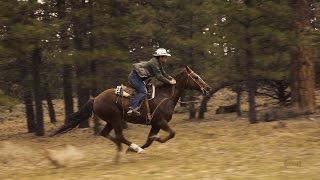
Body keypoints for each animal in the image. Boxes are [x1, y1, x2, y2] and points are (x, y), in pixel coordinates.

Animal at [52, 66, 211, 160]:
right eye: (196, 77)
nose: (208, 88)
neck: (166, 95)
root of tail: (95, 98)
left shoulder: (155, 124)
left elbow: (149, 140)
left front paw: (135, 149)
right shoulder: (160, 121)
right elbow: (171, 134)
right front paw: (153, 142)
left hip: (111, 121)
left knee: (106, 134)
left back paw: (123, 150)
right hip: (115, 119)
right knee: (119, 136)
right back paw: (134, 148)